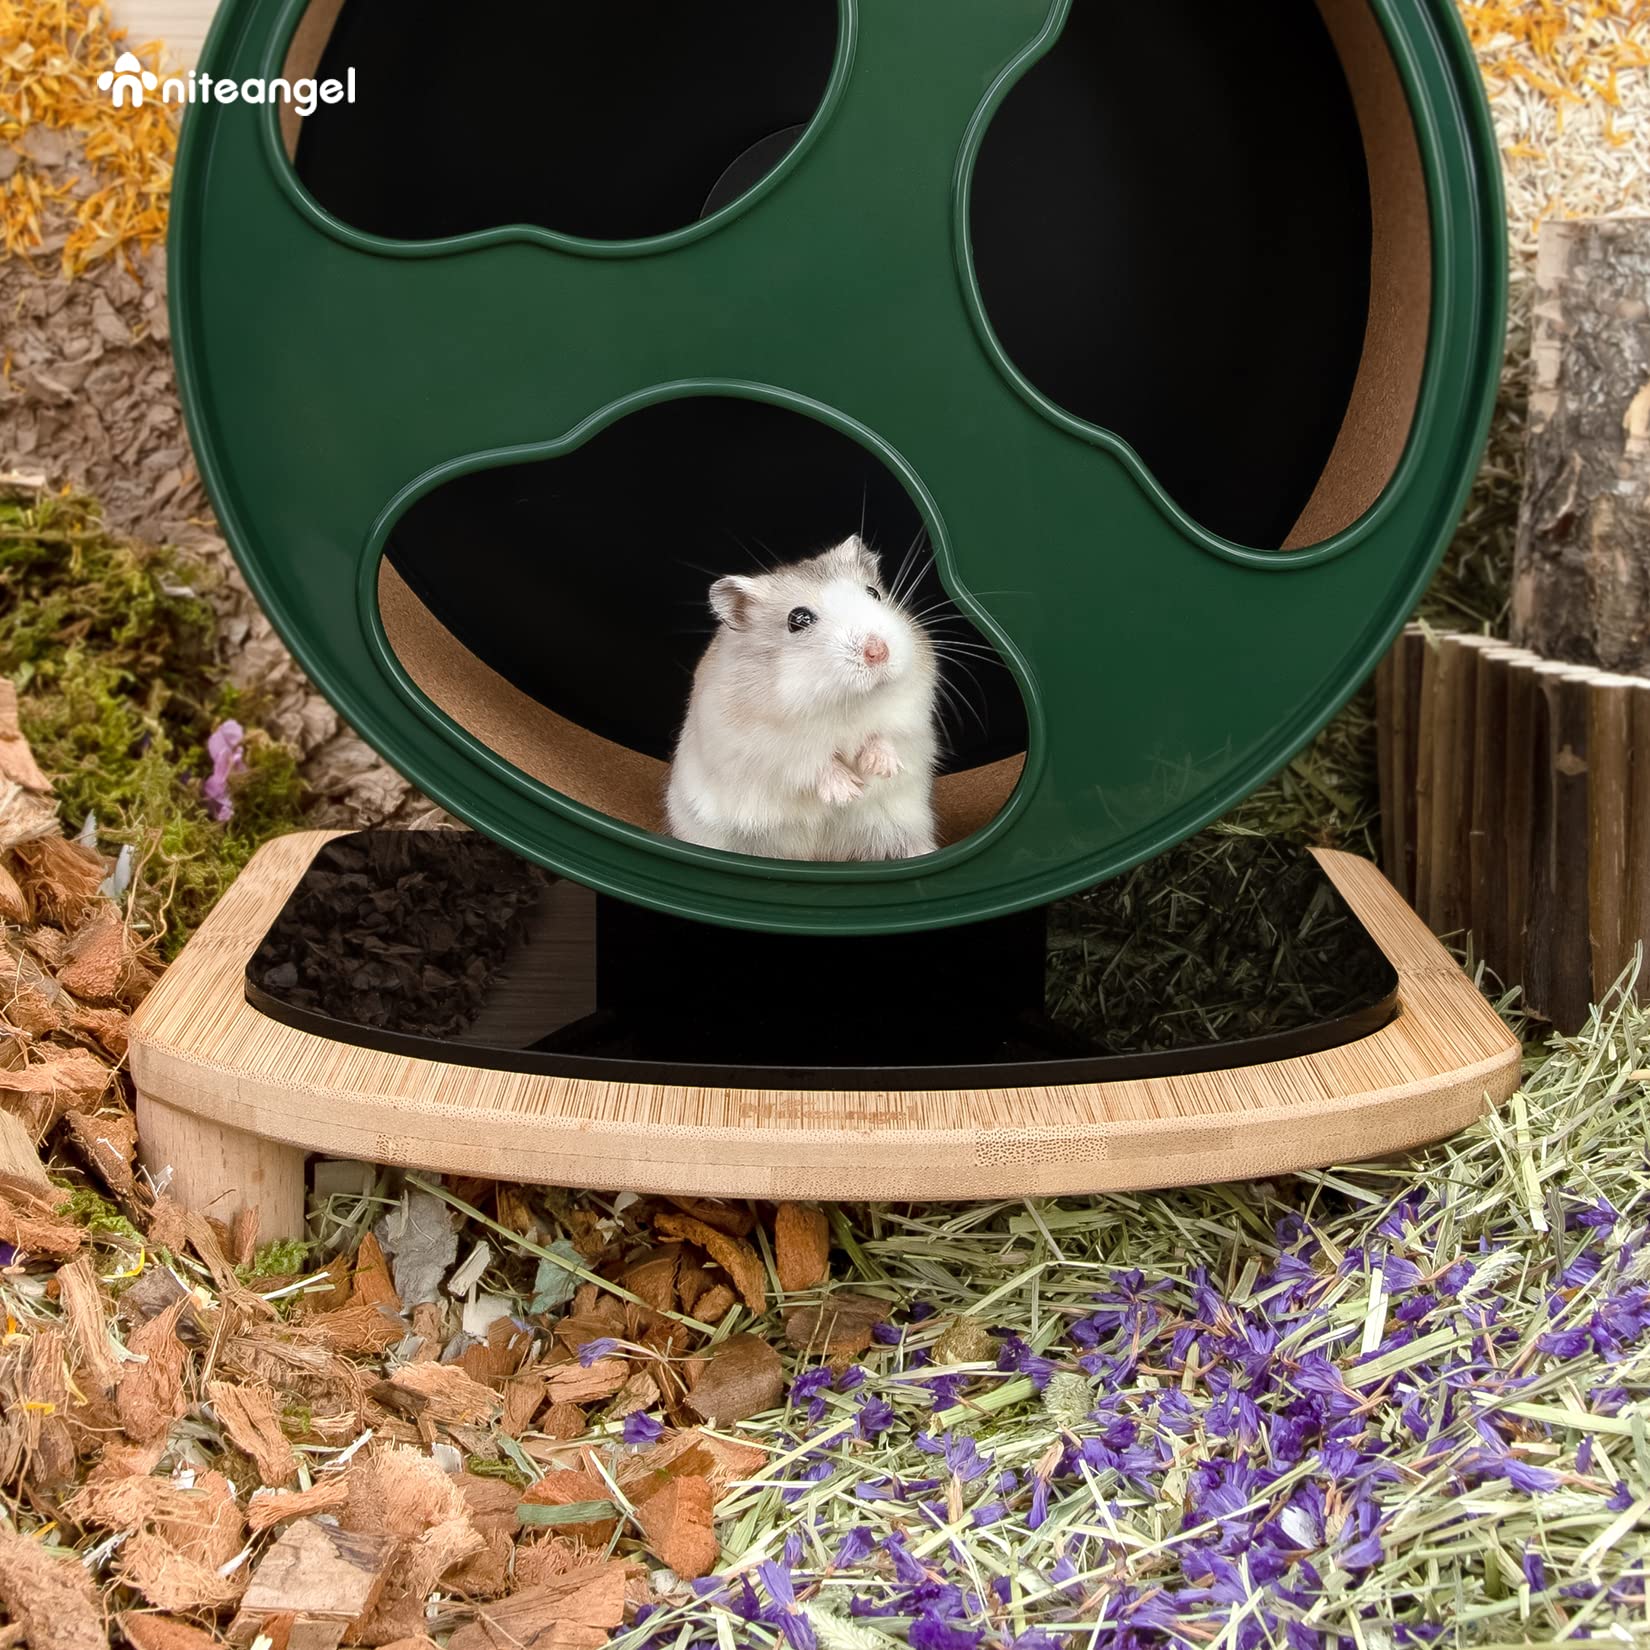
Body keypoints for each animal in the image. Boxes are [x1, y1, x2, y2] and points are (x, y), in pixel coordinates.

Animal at [665, 536, 940, 861]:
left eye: (873, 593)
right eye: (798, 619)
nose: (878, 652)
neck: (846, 701)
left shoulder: (912, 708)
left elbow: (887, 735)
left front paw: (881, 768)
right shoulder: (766, 749)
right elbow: (811, 763)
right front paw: (848, 792)